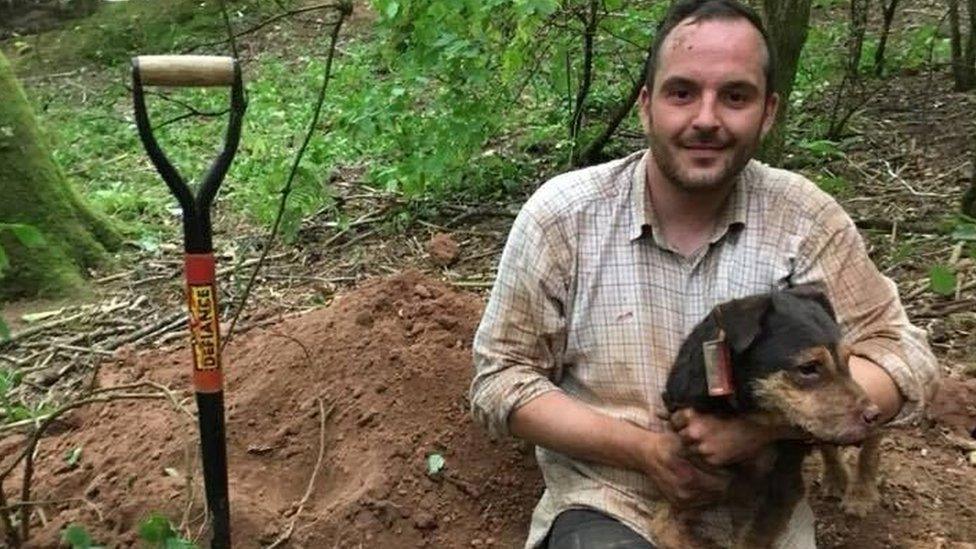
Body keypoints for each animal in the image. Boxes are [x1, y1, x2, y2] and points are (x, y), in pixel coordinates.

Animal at [648, 286, 884, 548]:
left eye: (848, 360)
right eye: (808, 368)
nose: (874, 414)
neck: (736, 408)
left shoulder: (781, 486)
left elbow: (752, 538)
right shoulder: (694, 475)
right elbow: (663, 527)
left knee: (870, 447)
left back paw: (862, 494)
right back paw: (836, 478)